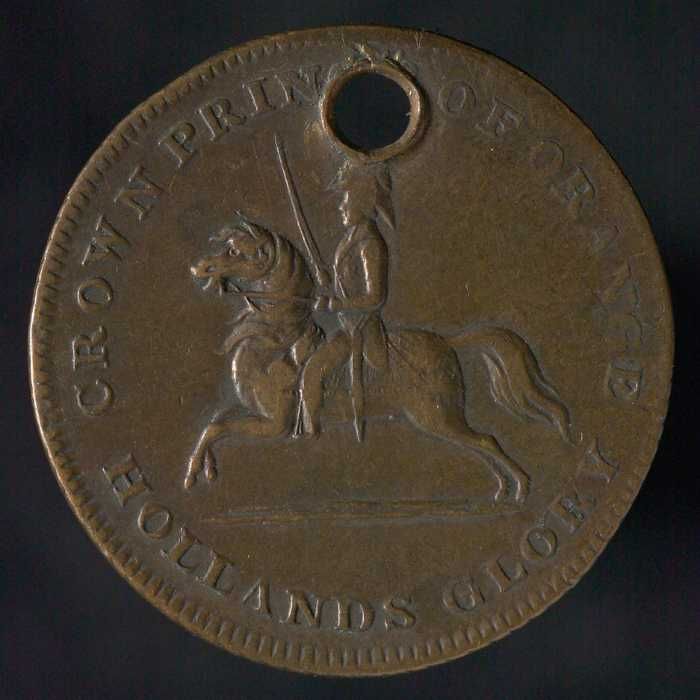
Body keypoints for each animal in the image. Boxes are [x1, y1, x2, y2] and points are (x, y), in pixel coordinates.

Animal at [185, 219, 574, 506]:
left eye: (235, 251)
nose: (199, 266)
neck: (275, 341)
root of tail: (447, 342)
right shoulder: (256, 414)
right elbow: (215, 423)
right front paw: (204, 469)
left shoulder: (275, 423)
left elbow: (217, 428)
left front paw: (194, 473)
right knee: (483, 444)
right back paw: (505, 489)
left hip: (437, 416)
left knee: (487, 440)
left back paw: (520, 487)